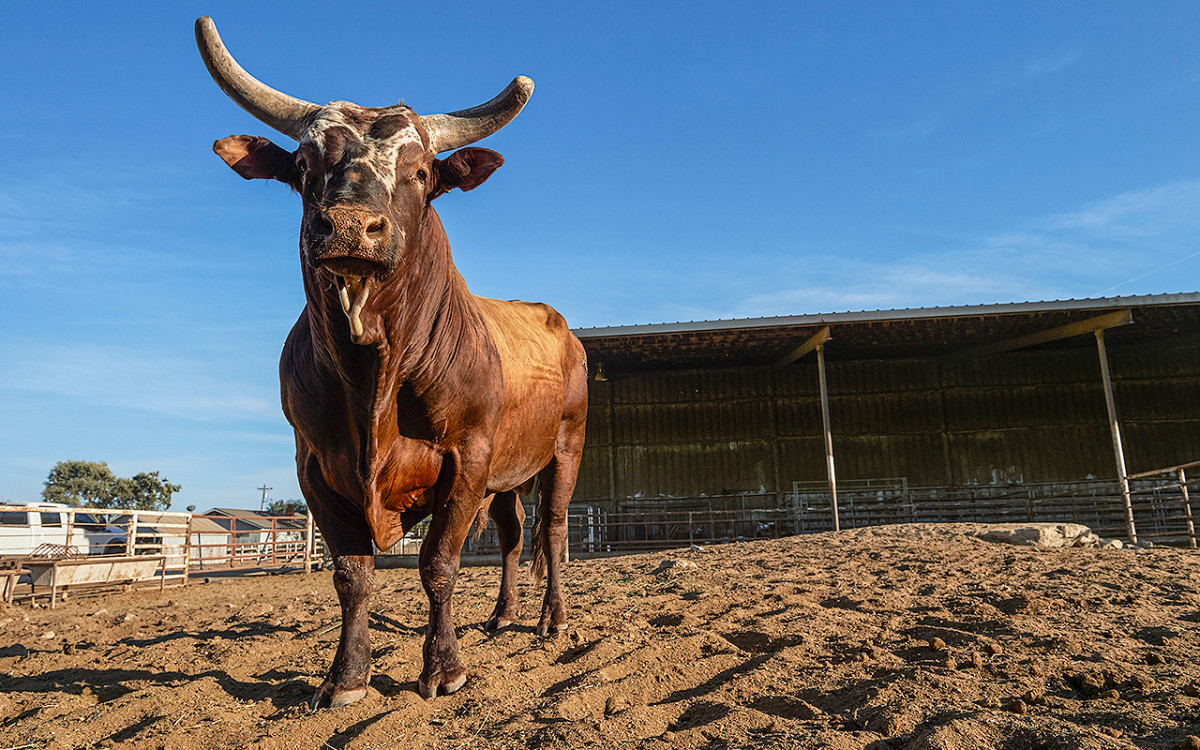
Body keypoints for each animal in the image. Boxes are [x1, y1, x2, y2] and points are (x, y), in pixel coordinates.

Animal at [195, 17, 588, 708]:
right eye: (304, 164)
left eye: (423, 171)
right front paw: (345, 678)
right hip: (510, 472)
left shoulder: (467, 456)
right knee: (515, 536)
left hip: (565, 448)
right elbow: (352, 574)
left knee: (554, 531)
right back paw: (503, 616)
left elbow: (438, 564)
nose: (353, 226)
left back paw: (552, 620)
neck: (373, 373)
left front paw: (443, 668)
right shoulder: (315, 466)